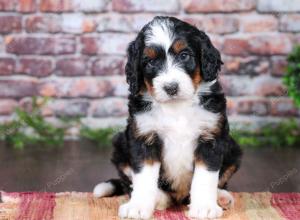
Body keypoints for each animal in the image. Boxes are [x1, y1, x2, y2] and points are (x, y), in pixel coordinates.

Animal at [92, 16, 243, 219]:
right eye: (150, 62)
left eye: (184, 55)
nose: (171, 87)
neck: (176, 107)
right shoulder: (143, 137)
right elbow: (143, 177)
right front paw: (138, 206)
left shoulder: (211, 137)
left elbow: (206, 176)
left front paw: (204, 207)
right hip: (120, 147)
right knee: (131, 184)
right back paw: (158, 199)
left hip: (233, 149)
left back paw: (222, 197)